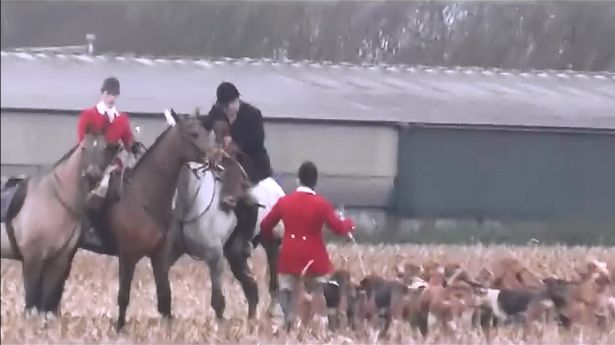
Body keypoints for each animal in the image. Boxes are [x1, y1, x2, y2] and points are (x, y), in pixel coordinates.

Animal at [0, 127, 119, 314]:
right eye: (83, 148)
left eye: (106, 148)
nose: (92, 175)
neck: (54, 197)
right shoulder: (32, 257)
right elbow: (32, 298)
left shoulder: (58, 260)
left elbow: (47, 298)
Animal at [79, 110, 218, 330]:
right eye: (194, 133)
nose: (216, 156)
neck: (144, 197)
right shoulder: (128, 256)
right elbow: (124, 296)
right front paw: (119, 329)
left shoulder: (159, 256)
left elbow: (165, 296)